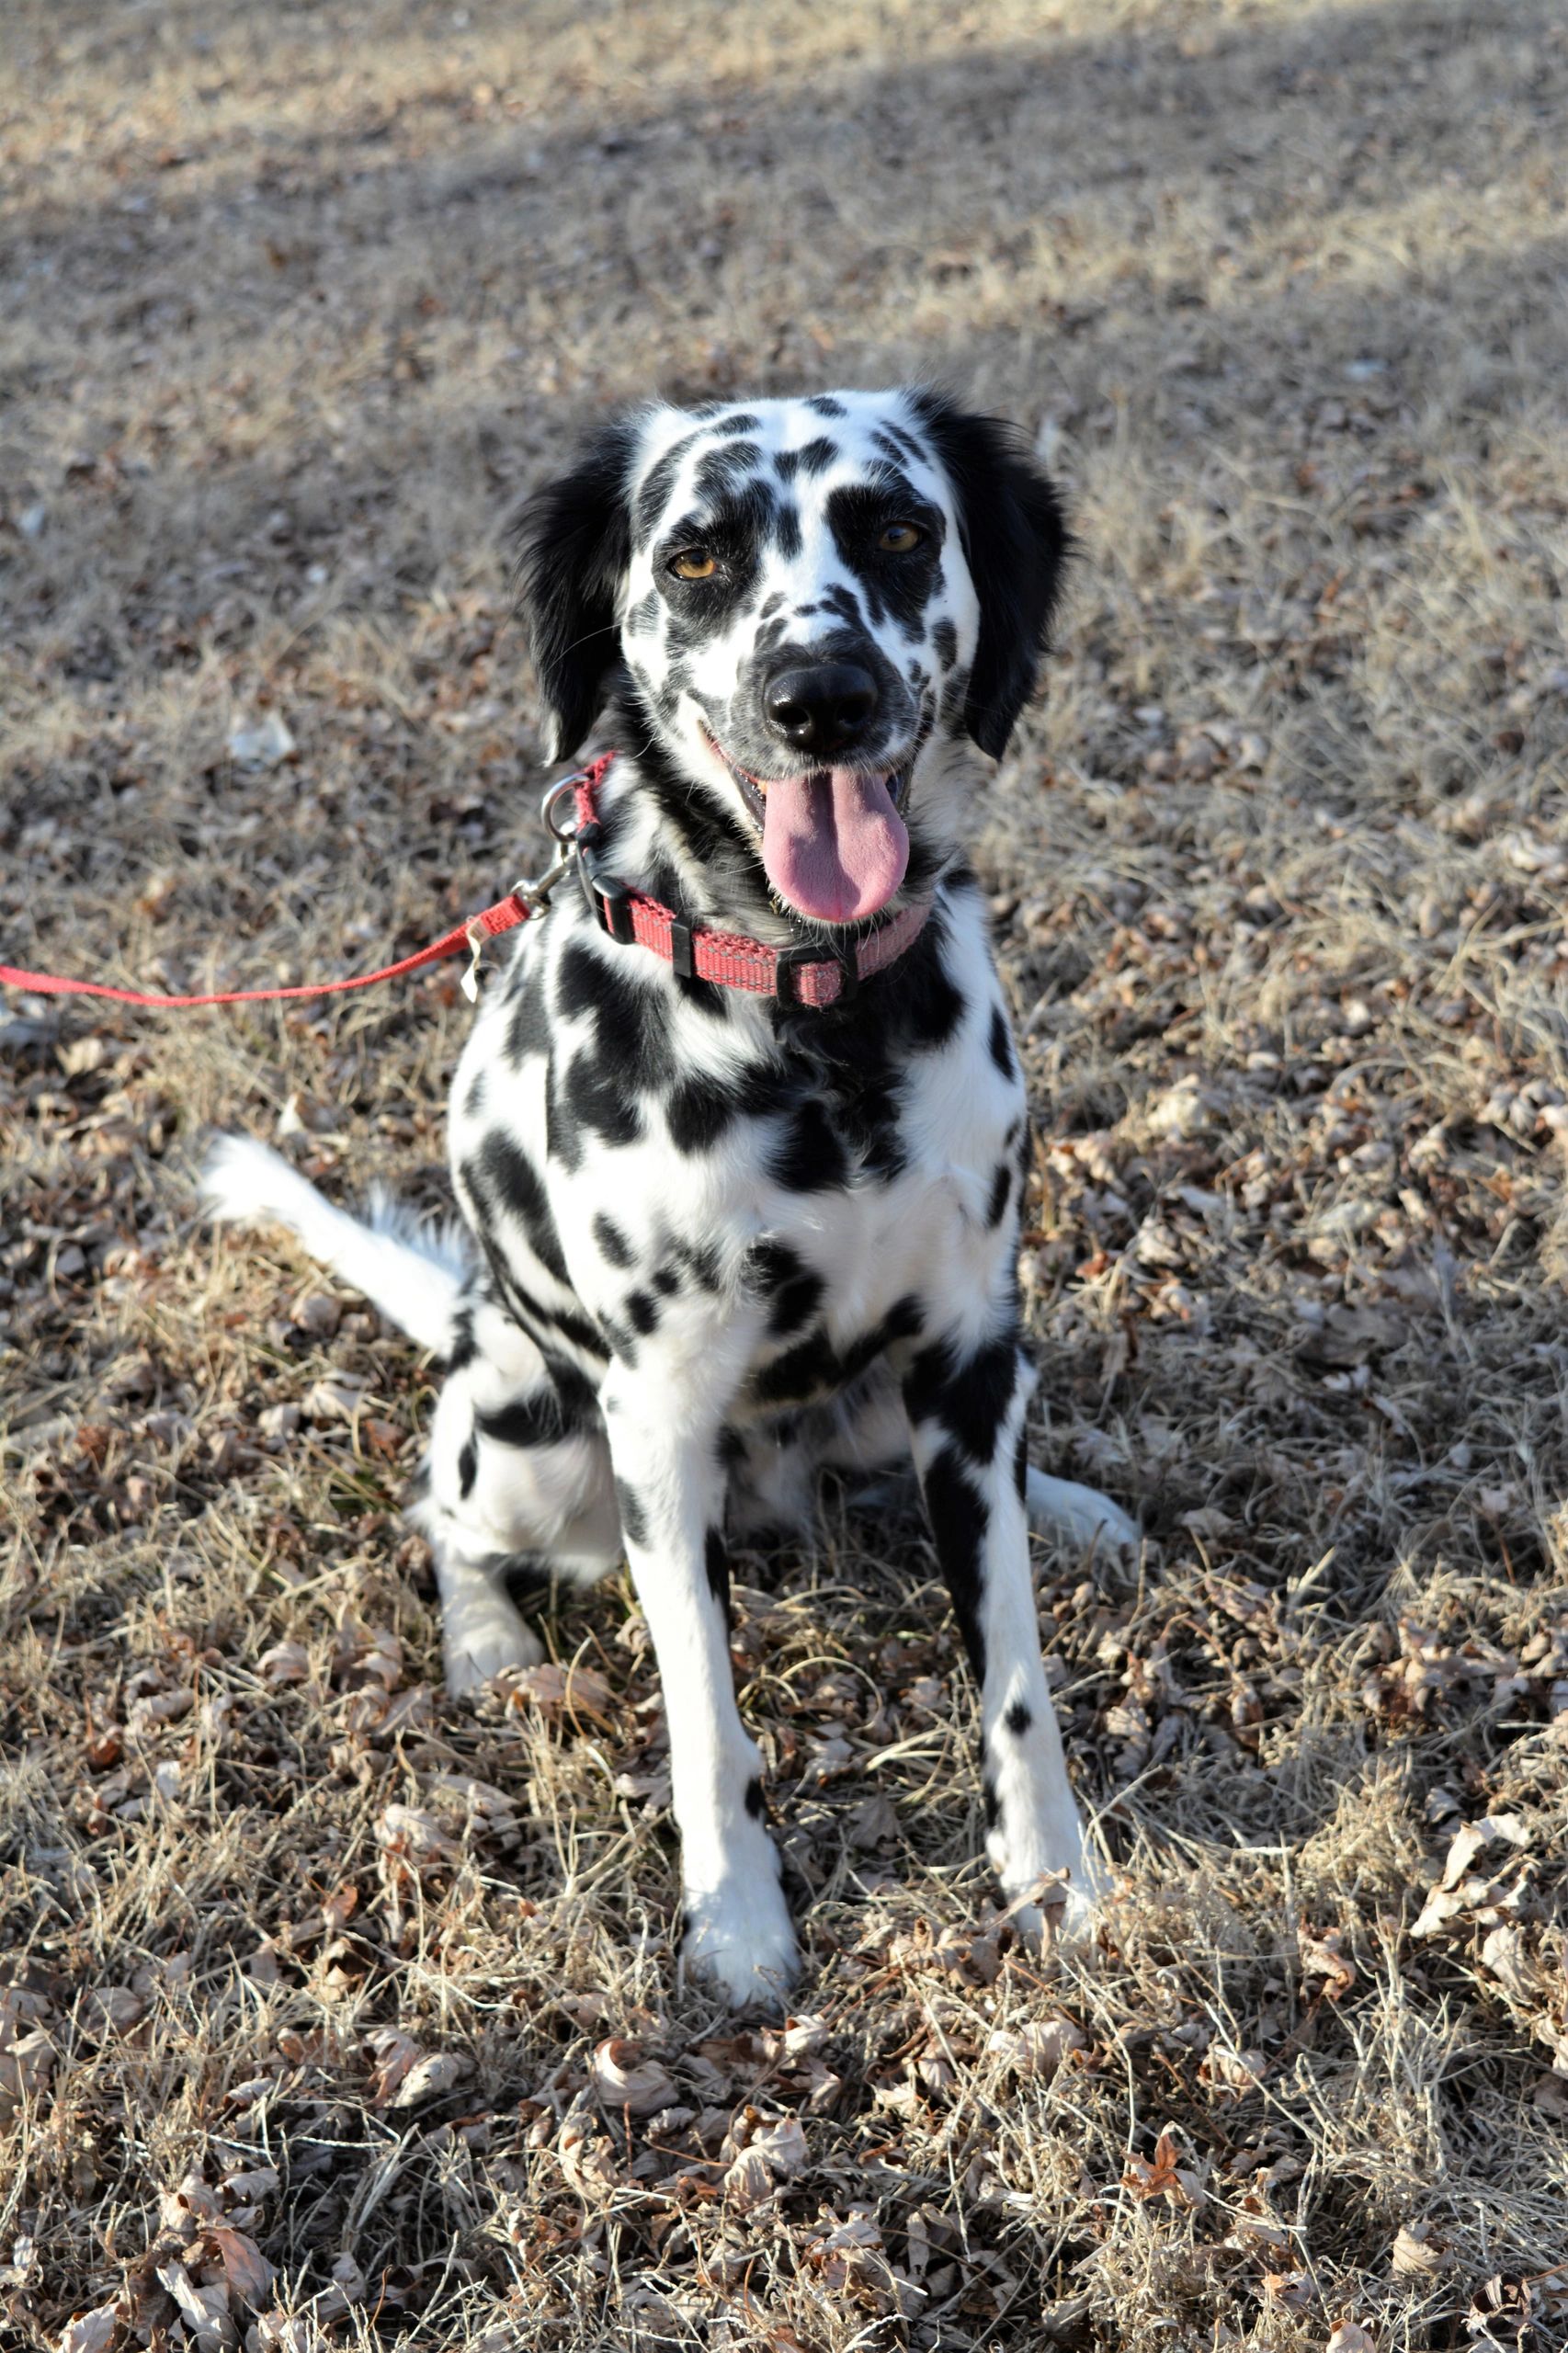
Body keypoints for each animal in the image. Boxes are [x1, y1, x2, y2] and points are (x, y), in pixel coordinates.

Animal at [207, 385, 1134, 2005]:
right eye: (696, 557)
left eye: (899, 531)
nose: (819, 695)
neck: (816, 1015)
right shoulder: (659, 1419)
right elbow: (704, 1714)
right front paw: (738, 1918)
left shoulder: (967, 1347)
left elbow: (1013, 1669)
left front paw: (1051, 1872)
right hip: (526, 1422)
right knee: (443, 1513)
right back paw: (485, 1647)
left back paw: (1066, 1500)